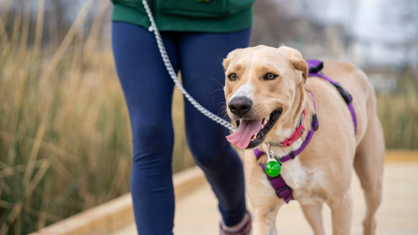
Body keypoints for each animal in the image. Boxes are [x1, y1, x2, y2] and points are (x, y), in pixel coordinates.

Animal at [224, 45, 384, 234]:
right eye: (232, 76)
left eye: (270, 75)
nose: (238, 105)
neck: (285, 145)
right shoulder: (264, 213)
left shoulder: (342, 203)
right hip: (309, 206)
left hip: (372, 183)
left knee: (369, 219)